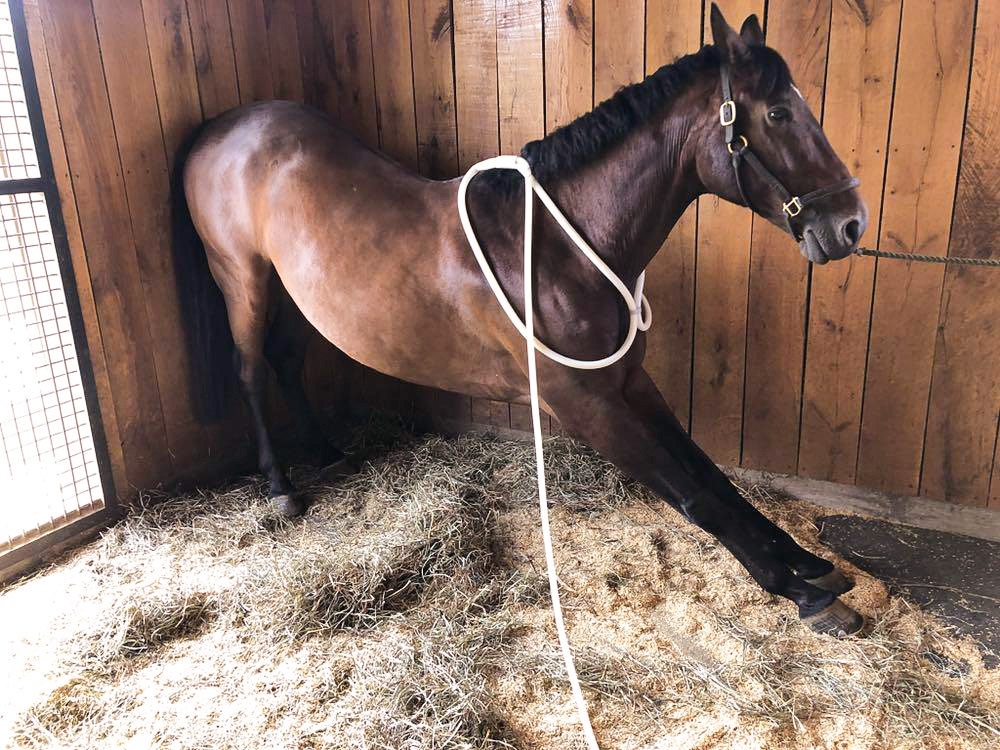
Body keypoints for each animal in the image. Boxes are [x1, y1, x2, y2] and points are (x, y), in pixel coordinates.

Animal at [172, 5, 869, 636]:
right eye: (776, 113)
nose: (850, 224)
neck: (557, 250)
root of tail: (220, 127)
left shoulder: (627, 385)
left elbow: (710, 473)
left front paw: (806, 562)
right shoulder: (585, 406)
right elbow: (694, 495)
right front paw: (799, 590)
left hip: (292, 290)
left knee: (286, 363)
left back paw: (324, 450)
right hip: (243, 277)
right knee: (250, 370)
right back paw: (280, 485)